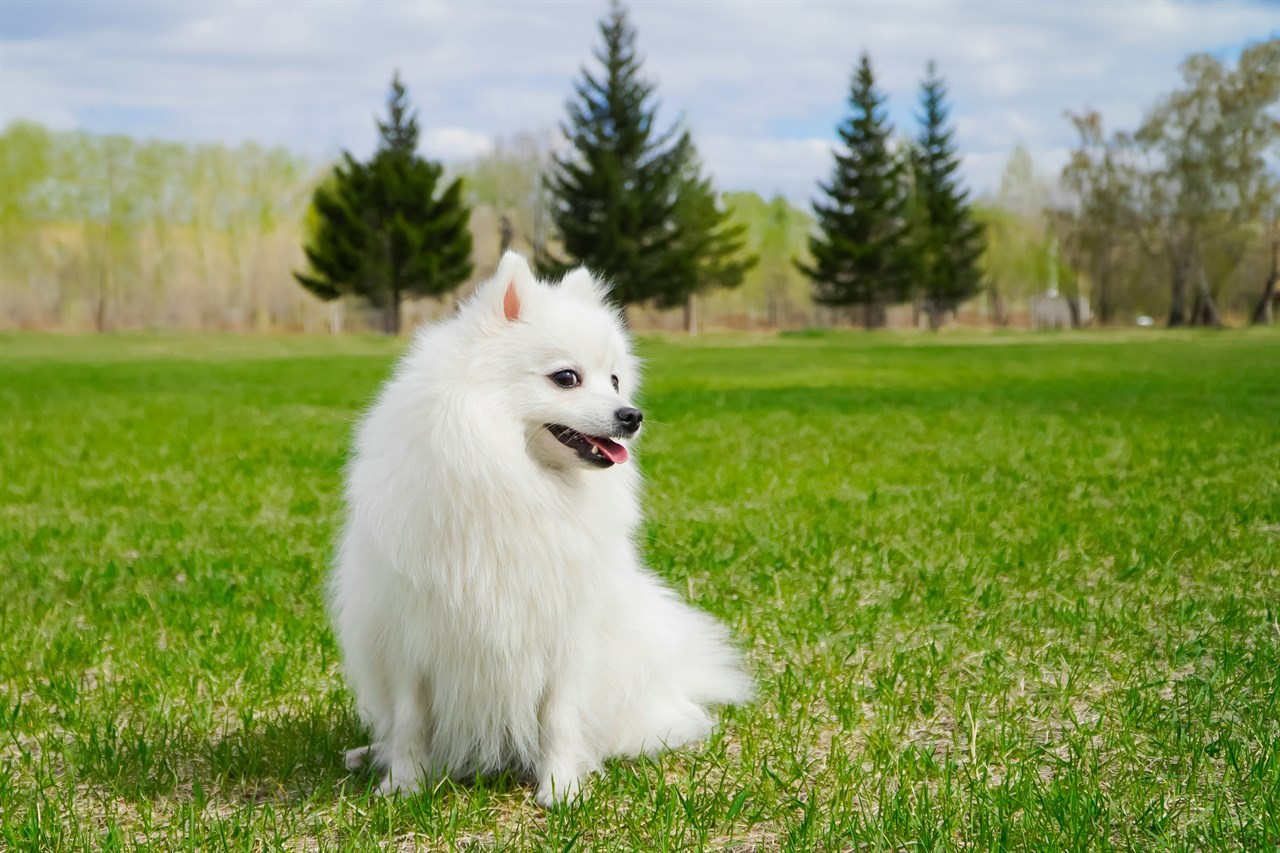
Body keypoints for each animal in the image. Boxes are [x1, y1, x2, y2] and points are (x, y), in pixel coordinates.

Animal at [330, 251, 747, 804]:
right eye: (566, 377)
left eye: (615, 380)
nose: (632, 415)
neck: (515, 478)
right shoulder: (409, 635)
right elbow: (410, 720)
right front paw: (403, 784)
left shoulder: (565, 633)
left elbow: (558, 717)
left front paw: (561, 789)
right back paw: (367, 754)